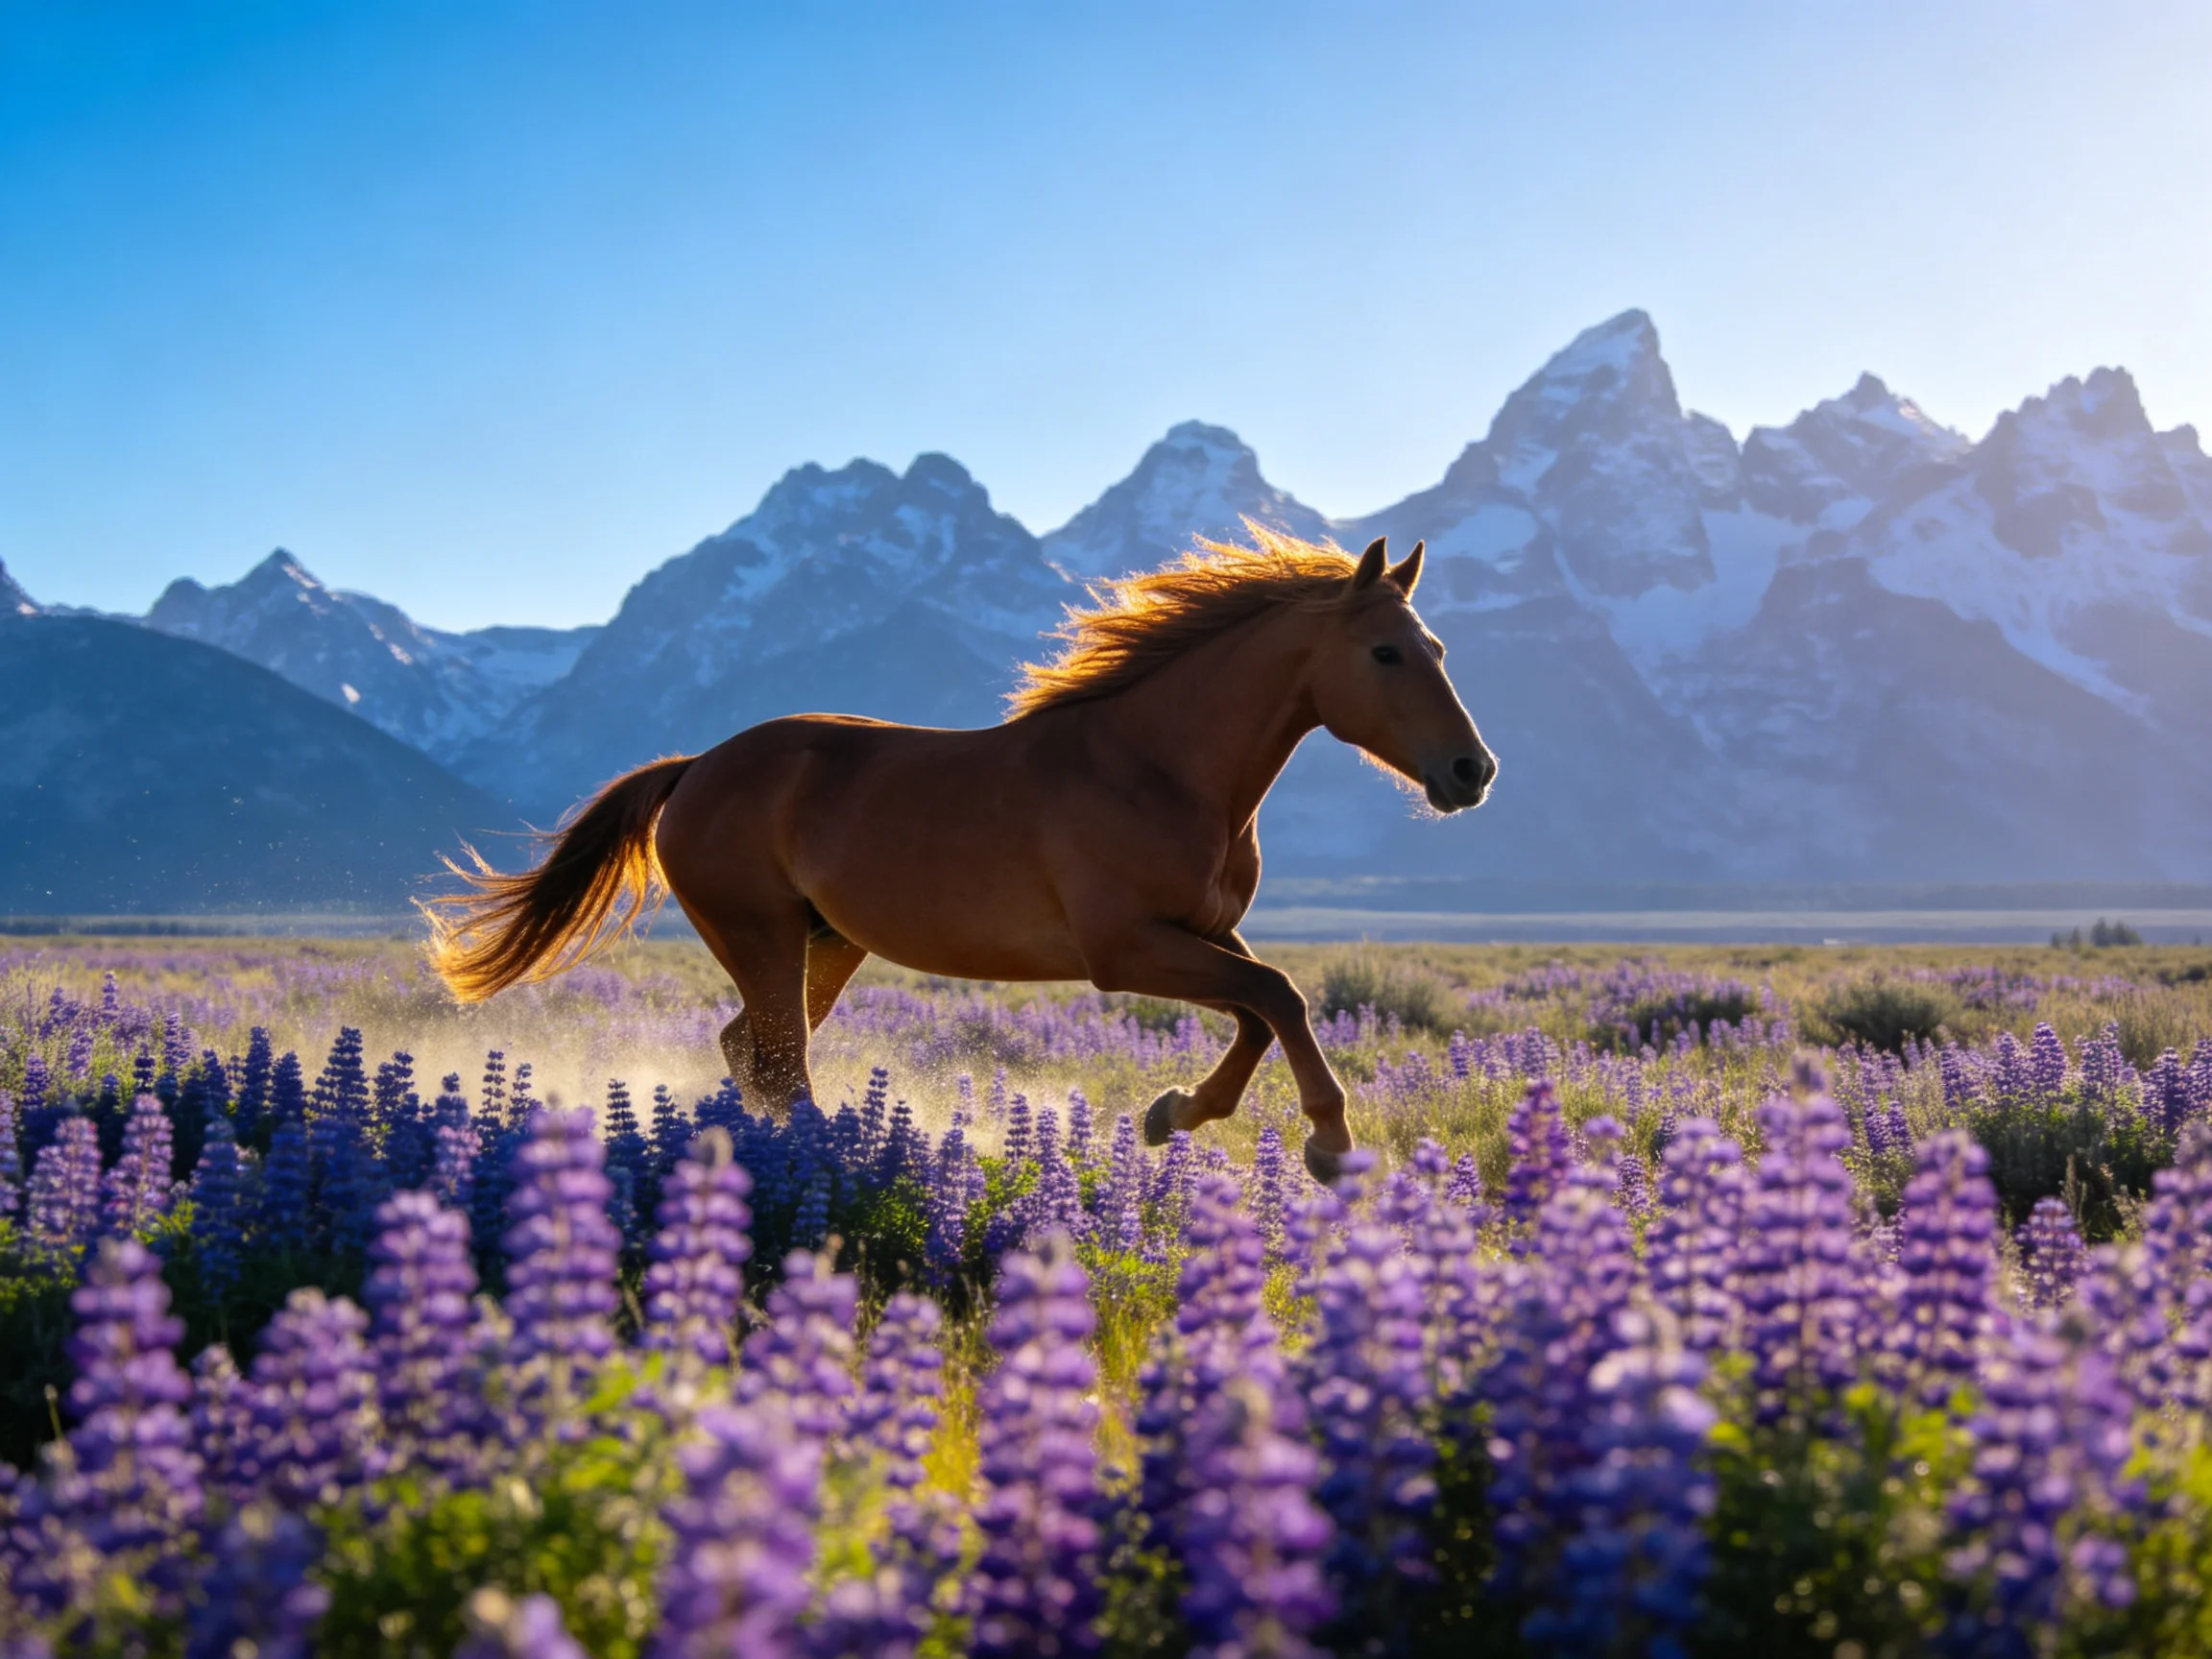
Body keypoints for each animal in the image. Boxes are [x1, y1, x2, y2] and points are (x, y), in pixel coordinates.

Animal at [424, 528, 1496, 1183]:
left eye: (1442, 649)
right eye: (1387, 653)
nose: (1471, 771)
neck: (1160, 767)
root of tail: (694, 769)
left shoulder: (1201, 935)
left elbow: (1263, 1010)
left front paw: (1175, 1113)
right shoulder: (1124, 951)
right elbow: (1282, 995)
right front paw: (1329, 1143)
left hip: (827, 945)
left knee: (751, 1051)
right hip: (761, 934)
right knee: (780, 1058)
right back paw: (830, 1166)